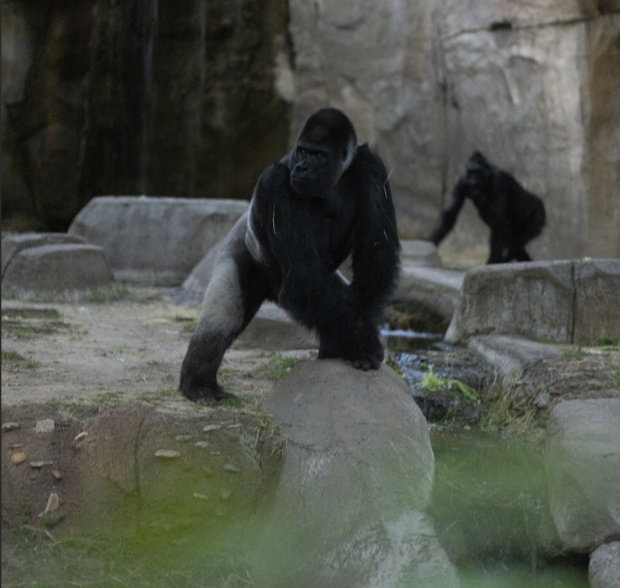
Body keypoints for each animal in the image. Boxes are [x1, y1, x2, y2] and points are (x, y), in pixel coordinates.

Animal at [179, 108, 402, 404]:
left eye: (317, 155)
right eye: (302, 151)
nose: (302, 168)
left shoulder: (372, 166)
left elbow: (376, 254)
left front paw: (357, 337)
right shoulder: (274, 183)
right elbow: (304, 276)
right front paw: (365, 344)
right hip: (238, 247)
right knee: (223, 318)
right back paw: (198, 384)